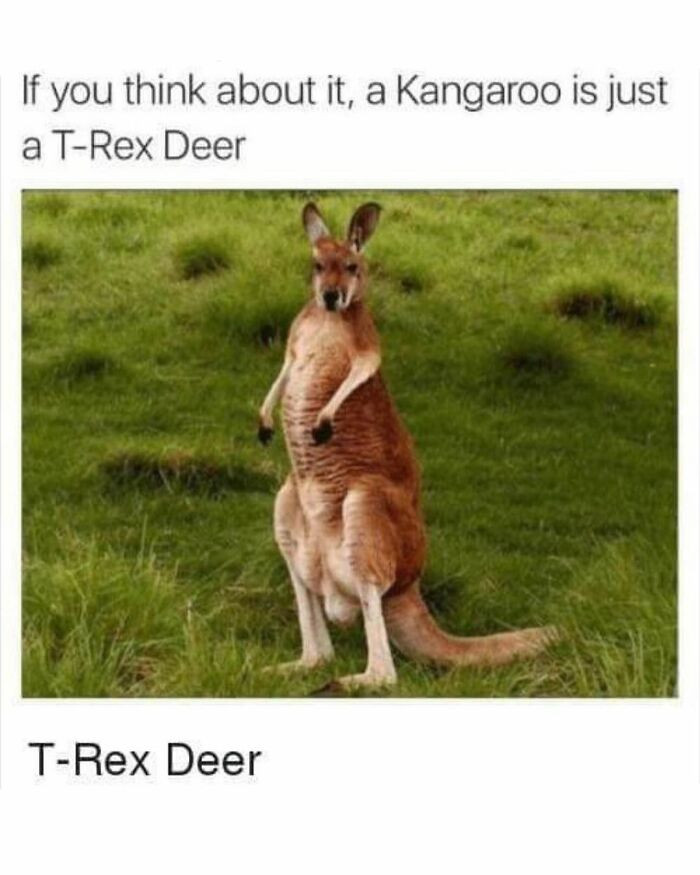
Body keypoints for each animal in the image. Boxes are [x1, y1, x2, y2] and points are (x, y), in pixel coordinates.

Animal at [257, 201, 557, 691]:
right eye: (317, 266)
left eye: (353, 267)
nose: (332, 296)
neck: (326, 321)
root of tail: (408, 587)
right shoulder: (294, 344)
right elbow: (282, 375)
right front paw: (265, 423)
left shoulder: (366, 345)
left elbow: (359, 371)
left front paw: (322, 423)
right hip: (287, 506)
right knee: (319, 648)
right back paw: (288, 669)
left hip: (365, 507)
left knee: (385, 668)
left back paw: (344, 684)